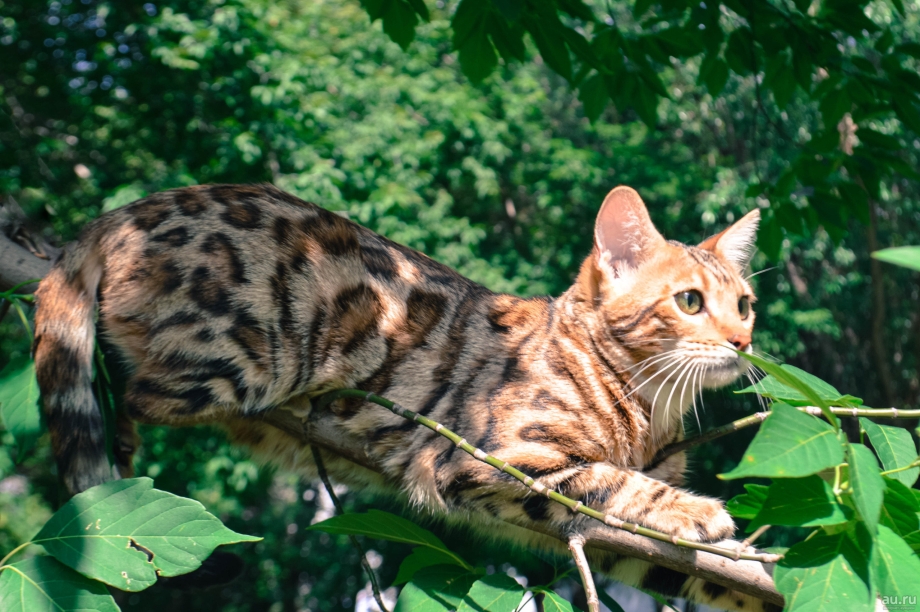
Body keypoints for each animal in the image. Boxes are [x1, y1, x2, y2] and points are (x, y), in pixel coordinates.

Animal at [34, 184, 768, 608]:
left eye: (745, 303)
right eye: (690, 302)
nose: (744, 341)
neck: (652, 410)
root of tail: (126, 211)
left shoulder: (607, 544)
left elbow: (715, 576)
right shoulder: (490, 460)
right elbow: (613, 480)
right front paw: (698, 510)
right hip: (243, 360)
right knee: (128, 391)